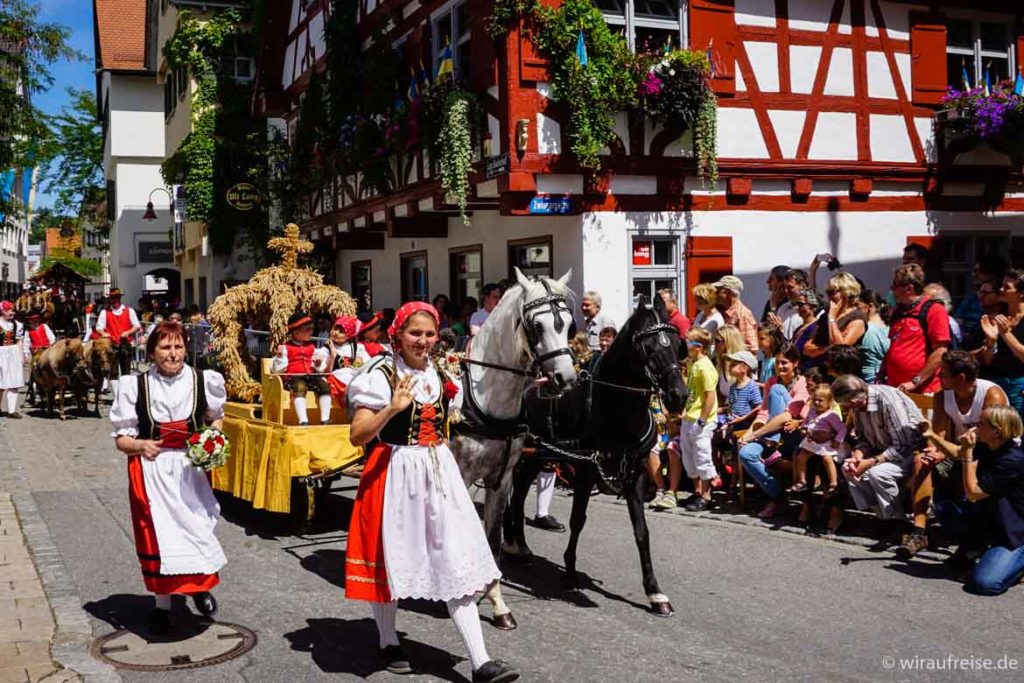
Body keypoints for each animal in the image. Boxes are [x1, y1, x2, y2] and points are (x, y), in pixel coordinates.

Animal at [450, 266, 577, 630]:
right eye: (537, 325)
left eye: (568, 323)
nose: (566, 378)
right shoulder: (461, 476)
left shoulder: (502, 478)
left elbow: (491, 539)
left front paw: (496, 602)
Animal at [505, 296, 688, 618]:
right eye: (648, 347)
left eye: (678, 345)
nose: (679, 395)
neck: (617, 406)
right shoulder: (586, 468)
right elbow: (578, 519)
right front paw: (569, 572)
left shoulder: (635, 474)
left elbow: (642, 531)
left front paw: (654, 591)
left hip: (536, 455)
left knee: (518, 493)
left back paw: (520, 546)